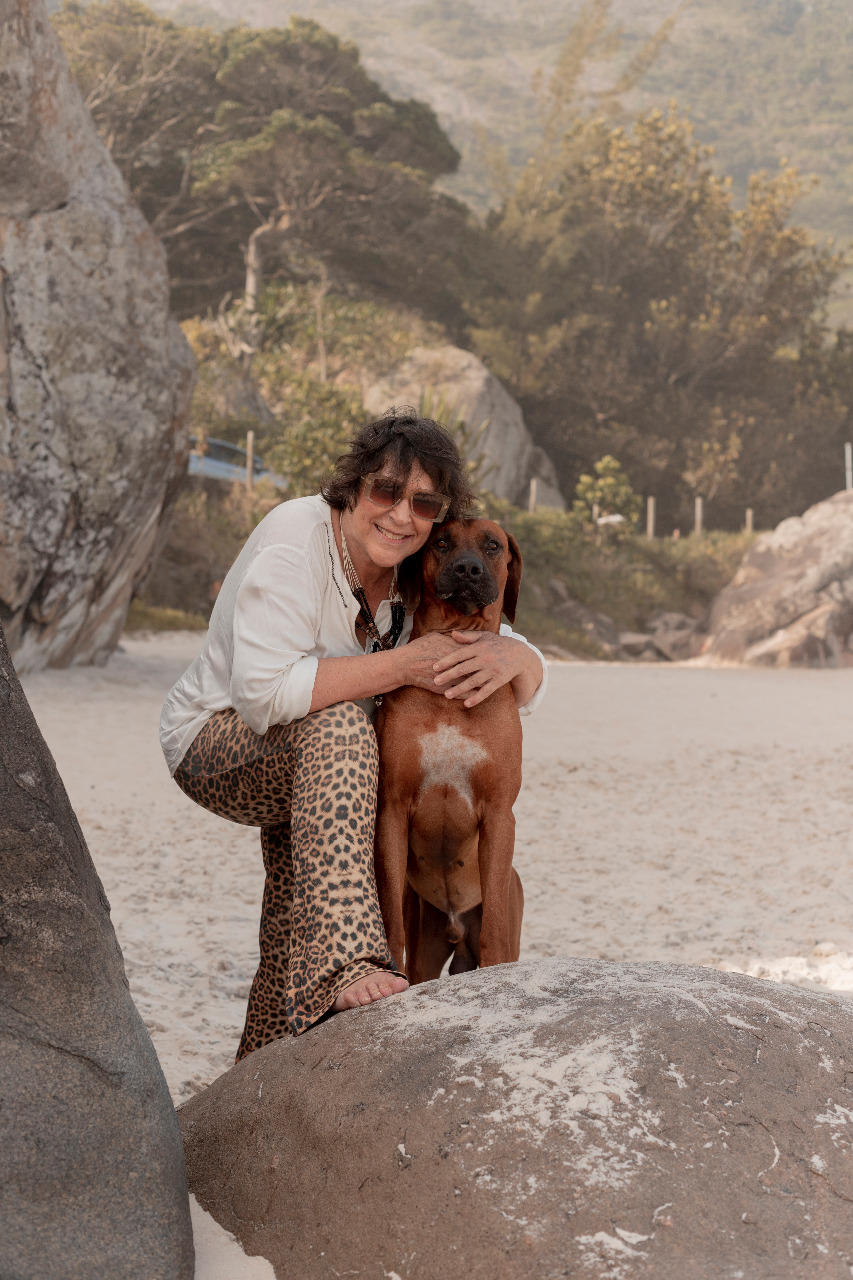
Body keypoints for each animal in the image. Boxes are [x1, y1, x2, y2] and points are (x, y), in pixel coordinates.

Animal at [374, 518, 524, 984]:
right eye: (441, 542)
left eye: (492, 546)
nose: (467, 570)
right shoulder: (392, 809)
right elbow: (390, 916)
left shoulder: (499, 813)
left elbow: (494, 924)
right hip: (426, 934)